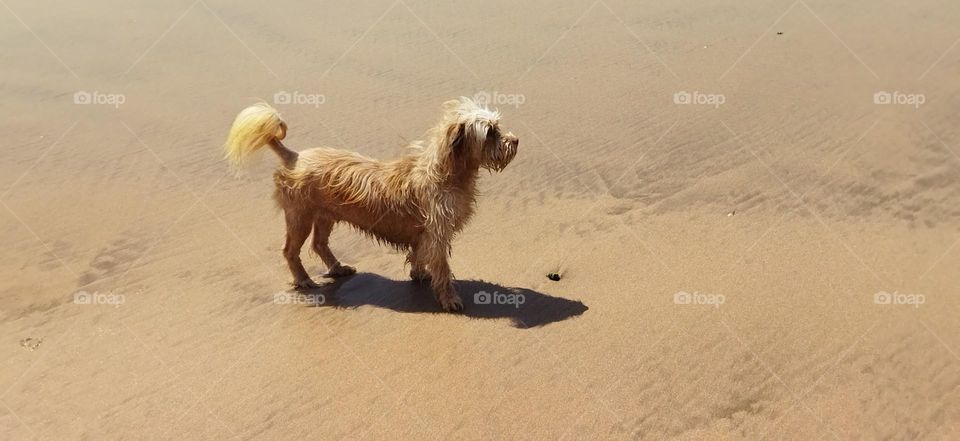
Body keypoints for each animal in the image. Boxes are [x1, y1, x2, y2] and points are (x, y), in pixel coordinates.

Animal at [224, 97, 516, 310]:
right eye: (490, 132)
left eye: (497, 127)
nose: (515, 141)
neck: (446, 174)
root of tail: (293, 156)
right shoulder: (437, 234)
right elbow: (442, 269)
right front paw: (449, 299)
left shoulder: (424, 234)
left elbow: (418, 254)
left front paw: (419, 273)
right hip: (300, 217)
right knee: (290, 251)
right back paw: (304, 280)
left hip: (325, 215)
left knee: (319, 244)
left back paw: (337, 268)